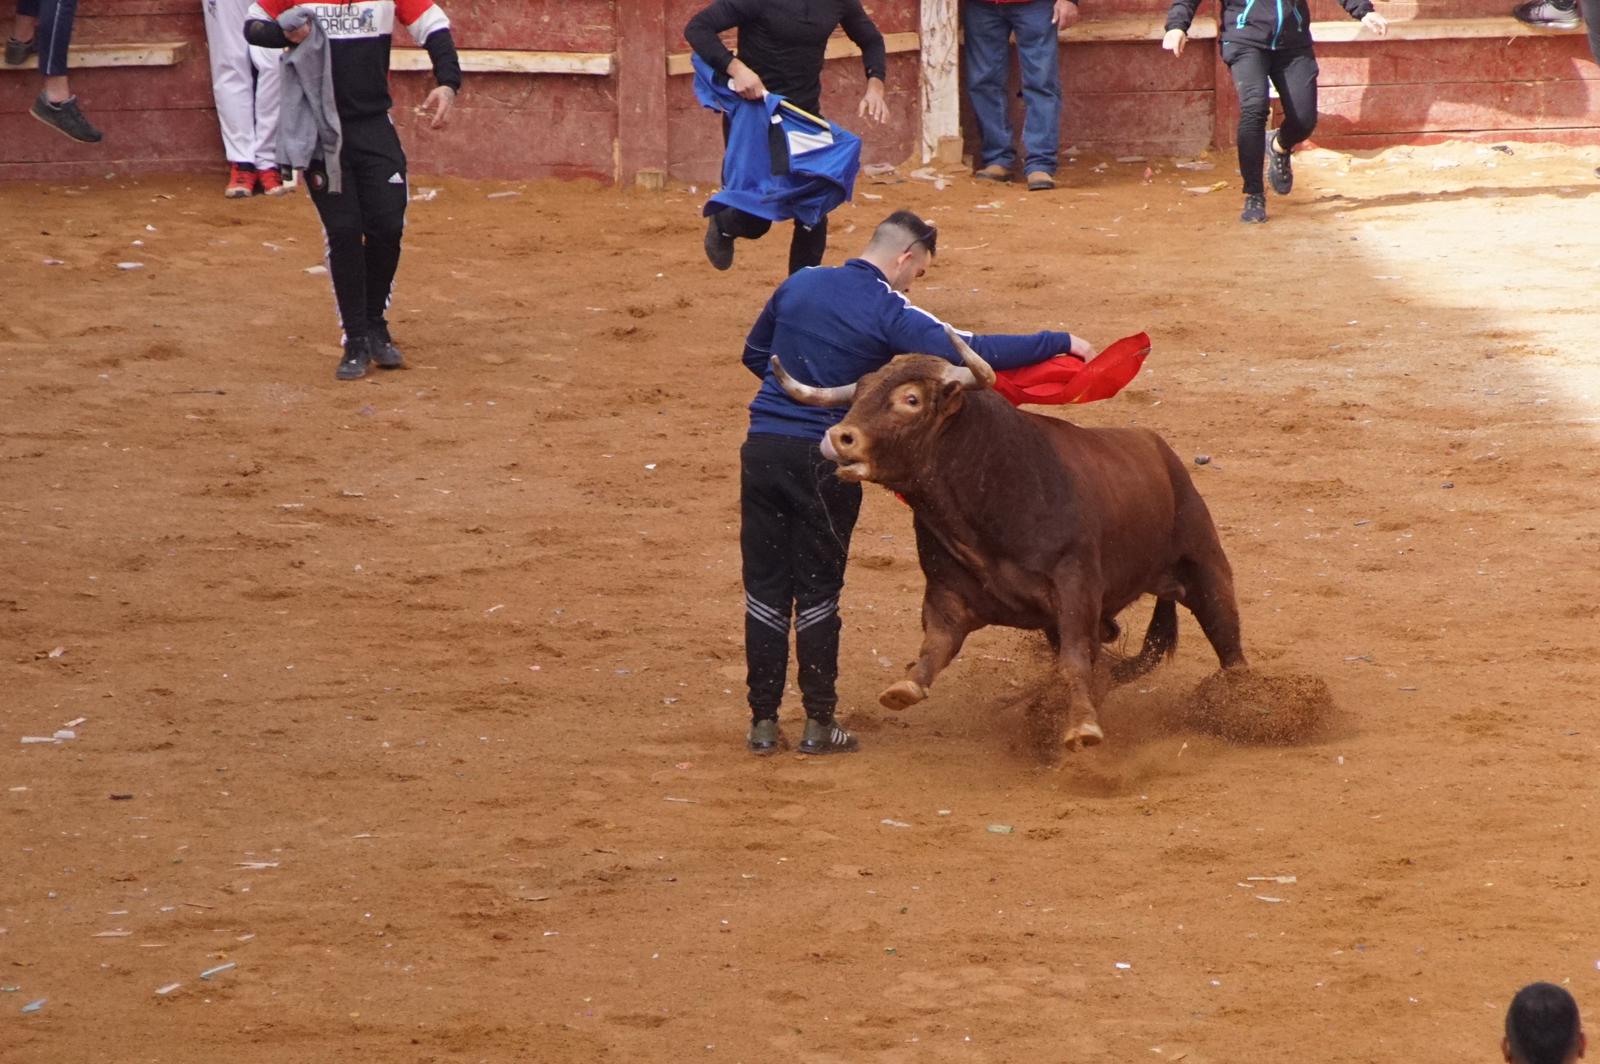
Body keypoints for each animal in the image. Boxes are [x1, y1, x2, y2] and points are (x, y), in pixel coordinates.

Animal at [774, 326, 1248, 745]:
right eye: (858, 396)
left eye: (910, 399)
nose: (838, 438)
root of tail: (1159, 449)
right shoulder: (948, 592)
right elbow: (936, 645)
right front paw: (903, 689)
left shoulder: (1075, 588)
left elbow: (1075, 659)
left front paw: (1082, 728)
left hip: (1206, 567)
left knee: (1228, 642)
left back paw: (1245, 705)